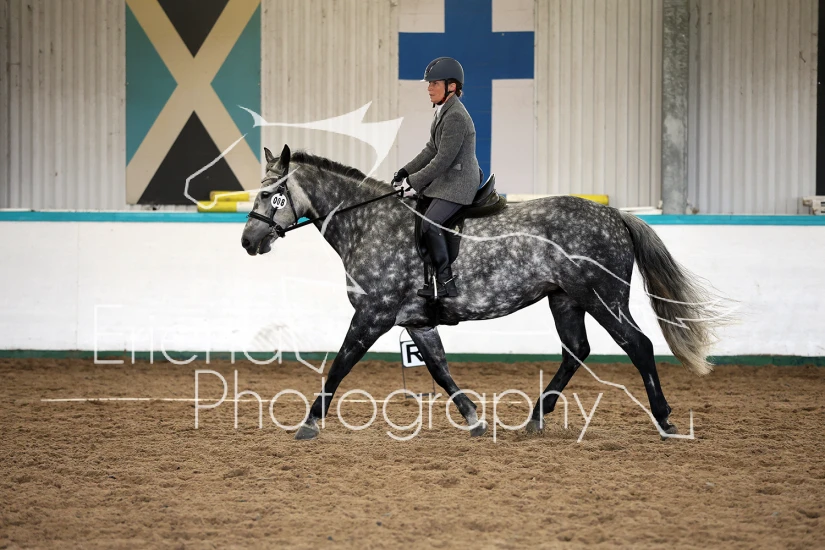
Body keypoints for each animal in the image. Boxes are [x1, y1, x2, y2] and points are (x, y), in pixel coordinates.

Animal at [241, 145, 726, 440]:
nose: (248, 241)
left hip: (603, 297)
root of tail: (615, 214)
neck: (368, 224)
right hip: (565, 299)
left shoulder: (372, 315)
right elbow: (440, 370)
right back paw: (536, 417)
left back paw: (664, 420)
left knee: (638, 345)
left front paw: (308, 424)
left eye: (271, 195)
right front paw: (475, 420)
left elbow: (340, 366)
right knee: (577, 350)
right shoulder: (415, 321)